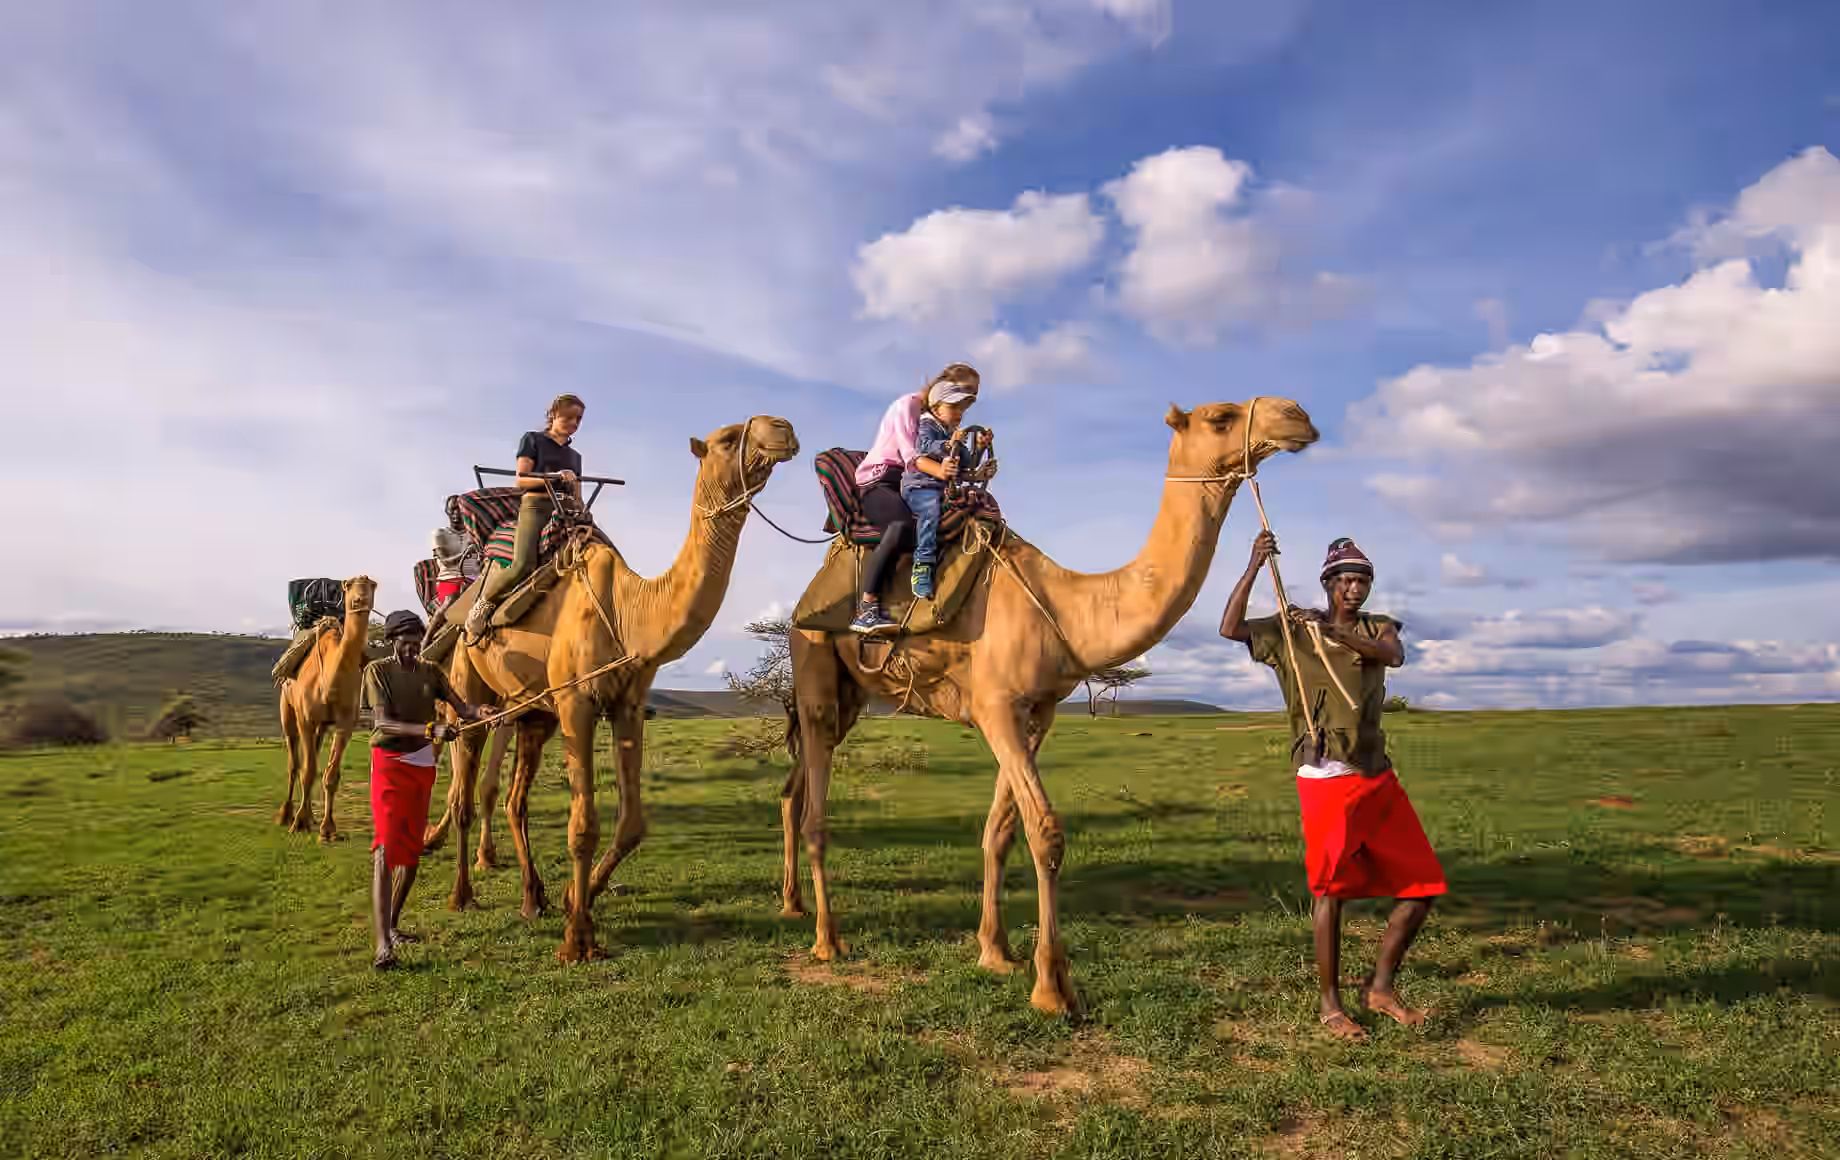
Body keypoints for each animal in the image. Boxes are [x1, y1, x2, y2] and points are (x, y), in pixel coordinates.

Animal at [276, 575, 378, 841]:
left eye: (372, 585)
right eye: (348, 584)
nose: (360, 599)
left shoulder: (346, 723)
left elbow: (331, 774)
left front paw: (327, 828)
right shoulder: (305, 719)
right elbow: (307, 770)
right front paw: (298, 823)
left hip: (321, 726)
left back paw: (310, 816)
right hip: (287, 710)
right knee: (294, 763)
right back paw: (285, 815)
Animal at [440, 415, 801, 962]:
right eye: (725, 438)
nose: (782, 427)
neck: (633, 611)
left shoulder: (627, 704)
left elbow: (632, 824)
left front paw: (577, 898)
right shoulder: (576, 703)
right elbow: (583, 827)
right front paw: (577, 940)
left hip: (532, 713)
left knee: (514, 800)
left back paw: (532, 898)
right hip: (471, 690)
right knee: (463, 794)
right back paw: (462, 896)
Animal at [782, 398, 1319, 1015]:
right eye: (1221, 417)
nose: (1296, 415)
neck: (1067, 606)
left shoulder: (1035, 713)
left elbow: (1000, 830)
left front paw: (996, 953)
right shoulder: (995, 707)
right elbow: (1046, 832)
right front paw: (1053, 987)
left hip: (851, 694)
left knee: (798, 786)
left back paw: (796, 905)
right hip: (813, 661)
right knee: (815, 805)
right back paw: (827, 939)